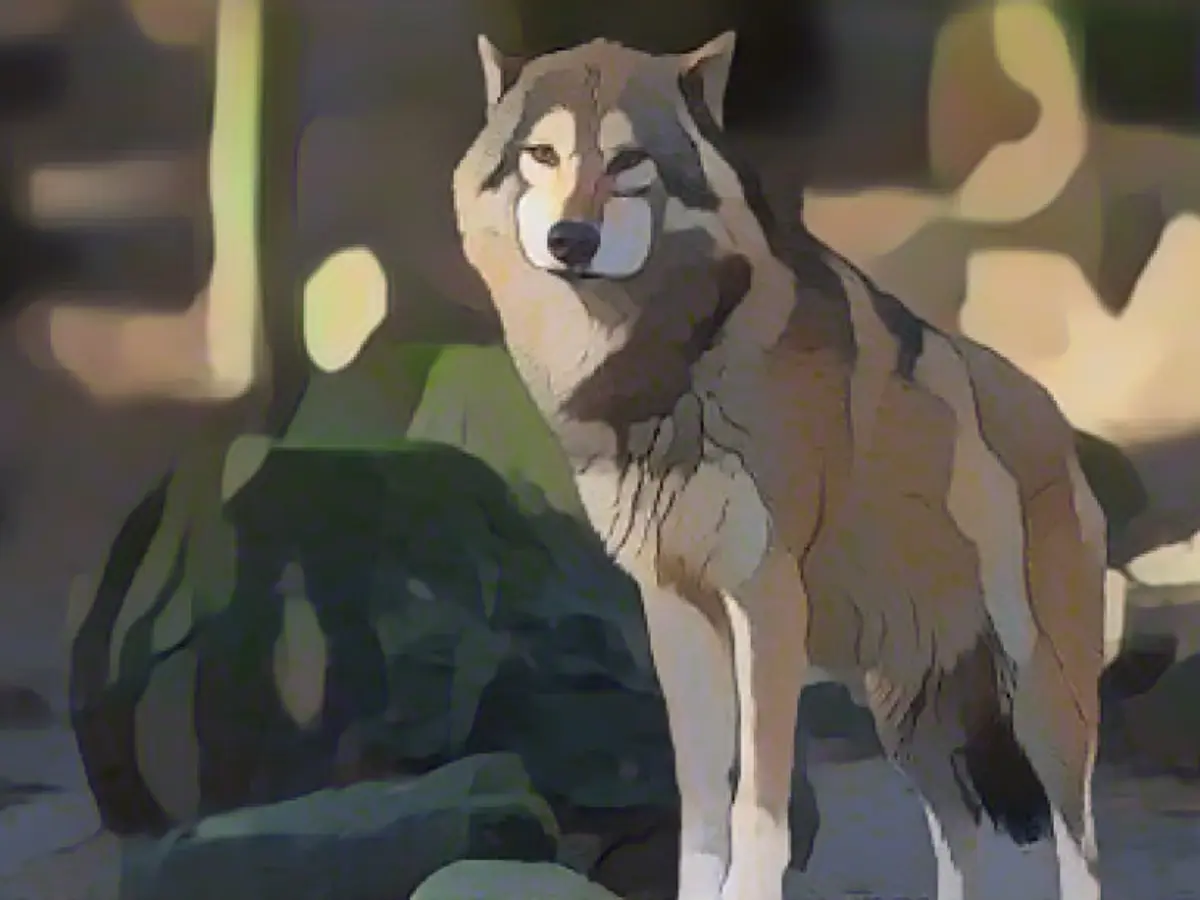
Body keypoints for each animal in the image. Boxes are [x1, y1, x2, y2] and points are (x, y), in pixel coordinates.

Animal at [451, 31, 1105, 900]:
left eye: (628, 160)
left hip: (1041, 706)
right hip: (912, 726)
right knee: (963, 844)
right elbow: (702, 813)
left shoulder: (765, 602)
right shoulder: (675, 607)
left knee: (1079, 849)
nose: (571, 240)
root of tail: (1060, 424)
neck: (664, 372)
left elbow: (758, 810)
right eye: (543, 155)